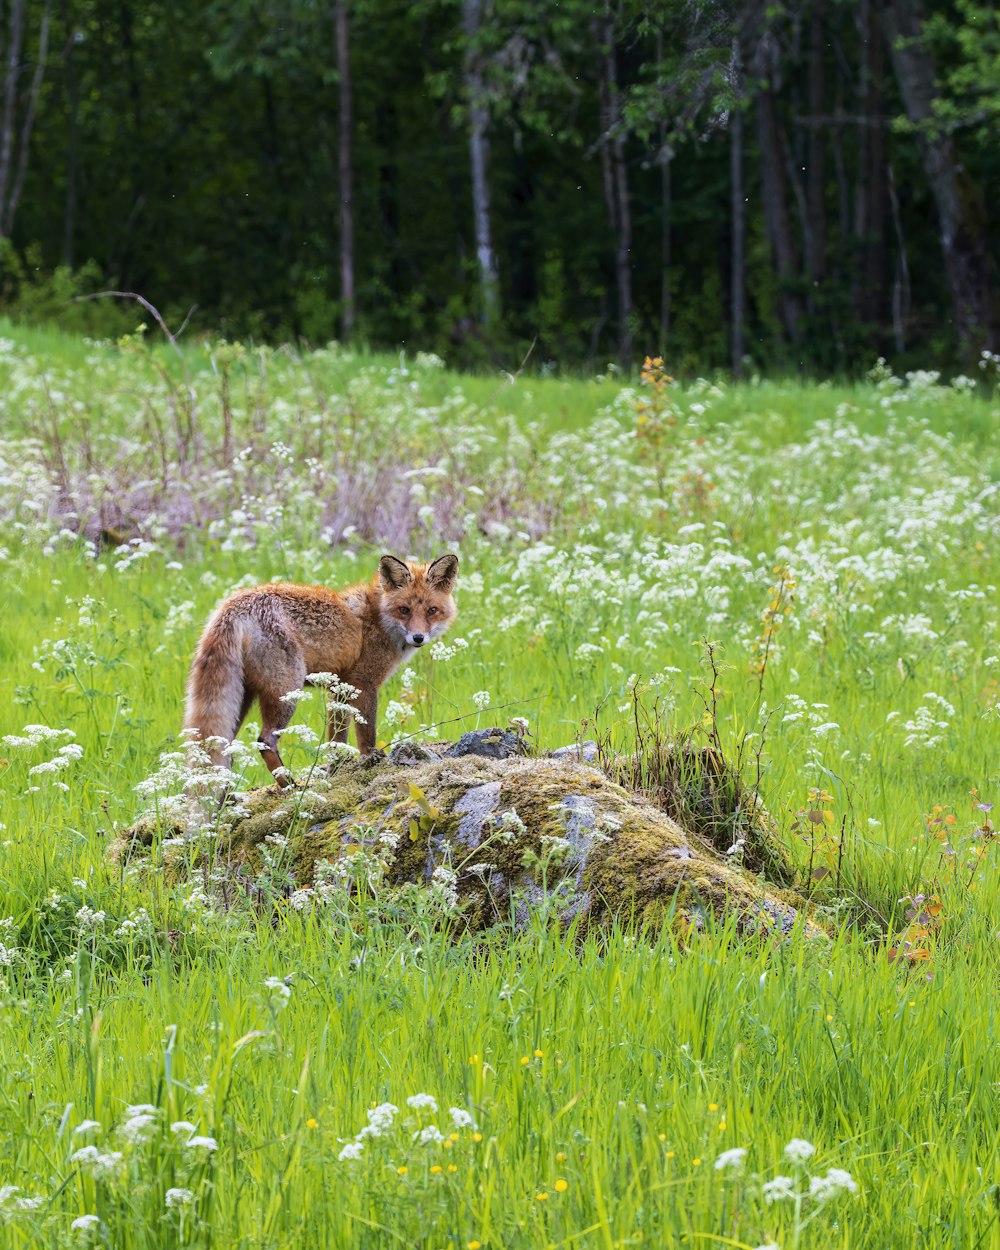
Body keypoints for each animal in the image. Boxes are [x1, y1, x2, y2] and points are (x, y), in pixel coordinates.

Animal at [182, 555, 457, 785]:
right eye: (404, 610)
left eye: (432, 611)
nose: (418, 637)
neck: (377, 619)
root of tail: (234, 606)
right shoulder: (364, 683)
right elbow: (366, 737)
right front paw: (372, 765)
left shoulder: (340, 689)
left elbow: (336, 741)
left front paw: (336, 772)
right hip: (285, 692)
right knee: (264, 741)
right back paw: (290, 788)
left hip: (242, 698)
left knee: (220, 748)